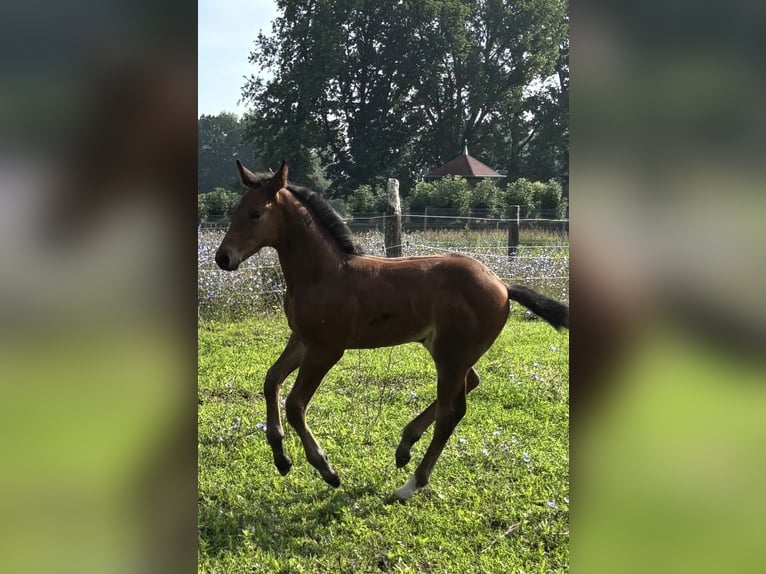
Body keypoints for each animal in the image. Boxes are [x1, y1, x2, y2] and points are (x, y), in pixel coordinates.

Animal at [215, 160, 569, 501]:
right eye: (235, 210)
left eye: (256, 213)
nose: (223, 258)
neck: (323, 273)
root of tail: (503, 286)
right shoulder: (302, 339)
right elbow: (271, 380)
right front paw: (281, 458)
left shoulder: (326, 349)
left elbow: (295, 405)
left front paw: (327, 470)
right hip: (450, 352)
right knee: (470, 384)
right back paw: (404, 447)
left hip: (451, 356)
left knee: (451, 412)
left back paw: (410, 485)